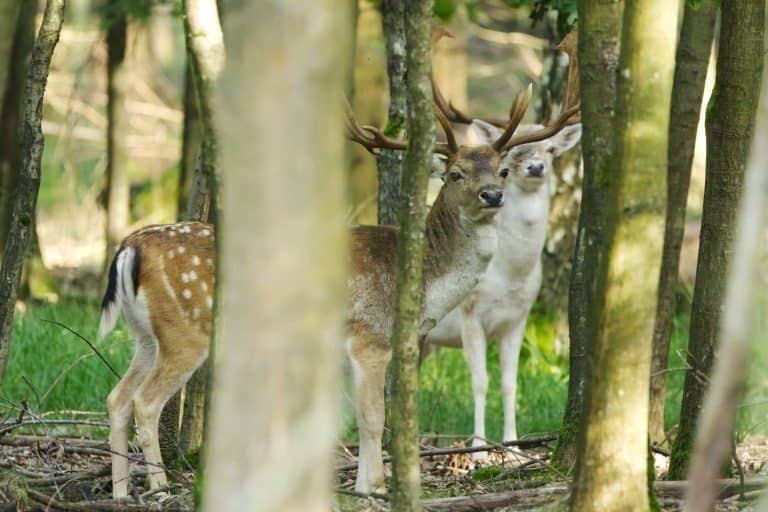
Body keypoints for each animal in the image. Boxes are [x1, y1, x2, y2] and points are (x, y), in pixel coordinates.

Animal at [425, 33, 581, 461]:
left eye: (550, 150)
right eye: (511, 155)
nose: (535, 167)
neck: (509, 276)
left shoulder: (519, 318)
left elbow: (510, 383)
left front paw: (513, 447)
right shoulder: (470, 315)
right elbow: (480, 381)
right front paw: (478, 449)